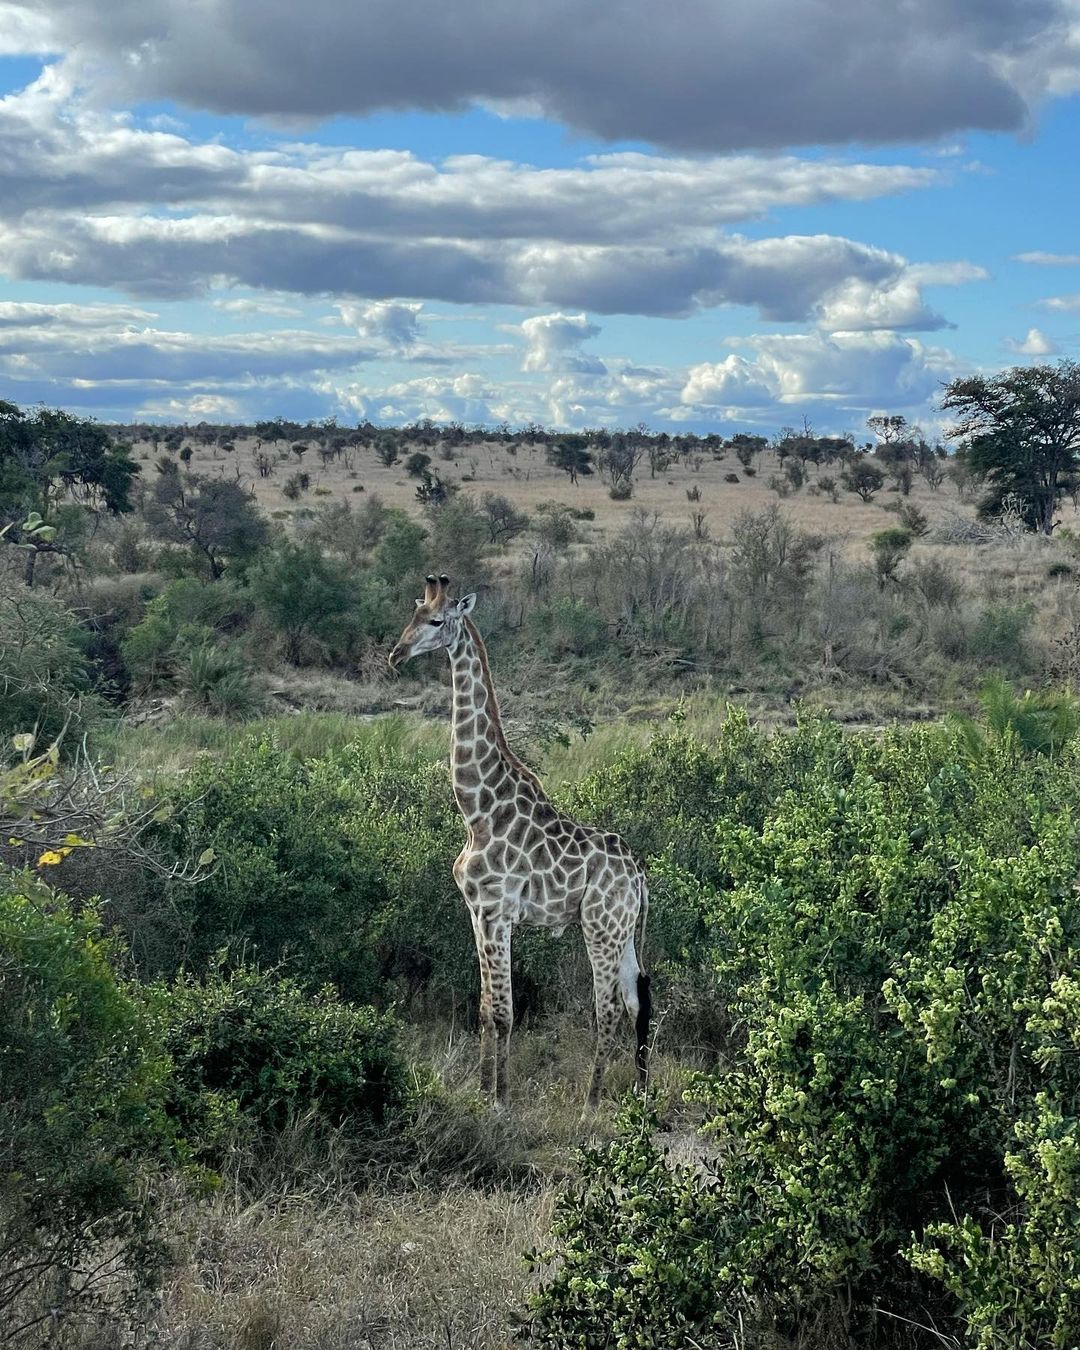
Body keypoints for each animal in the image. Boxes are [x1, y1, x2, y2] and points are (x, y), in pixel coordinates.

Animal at [391, 569, 653, 1107]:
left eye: (436, 621)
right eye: (411, 613)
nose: (396, 655)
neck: (478, 810)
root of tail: (639, 876)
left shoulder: (498, 912)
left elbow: (505, 1013)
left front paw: (500, 1099)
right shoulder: (475, 912)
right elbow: (485, 1010)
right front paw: (481, 1090)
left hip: (598, 927)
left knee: (608, 1007)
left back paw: (591, 1103)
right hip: (620, 930)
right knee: (636, 1001)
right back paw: (640, 1096)